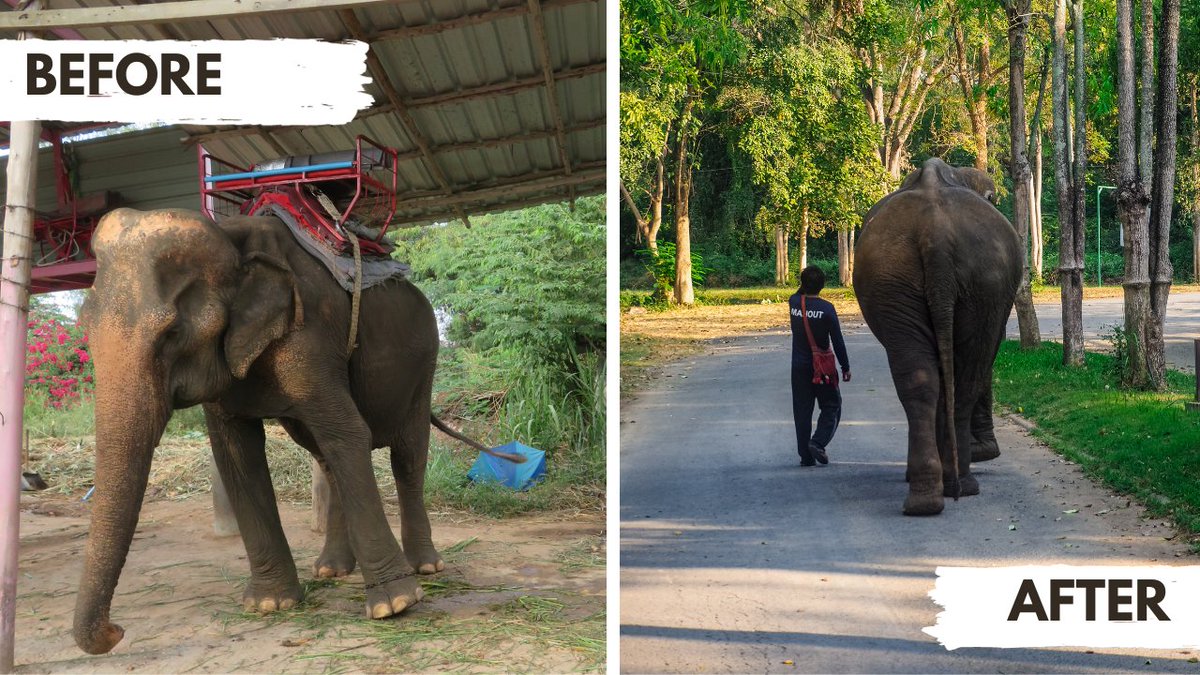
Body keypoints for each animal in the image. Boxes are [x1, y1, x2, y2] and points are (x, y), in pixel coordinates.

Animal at [73, 208, 513, 654]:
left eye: (172, 333)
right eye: (85, 330)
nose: (116, 631)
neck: (229, 236)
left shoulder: (309, 336)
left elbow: (348, 433)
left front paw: (395, 605)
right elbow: (237, 454)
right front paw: (269, 604)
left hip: (423, 366)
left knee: (405, 456)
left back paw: (425, 566)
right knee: (326, 456)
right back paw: (331, 570)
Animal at [853, 158, 1021, 516]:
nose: (987, 449)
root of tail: (936, 234)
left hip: (896, 279)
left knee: (920, 379)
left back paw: (928, 498)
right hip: (981, 281)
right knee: (967, 375)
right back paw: (961, 485)